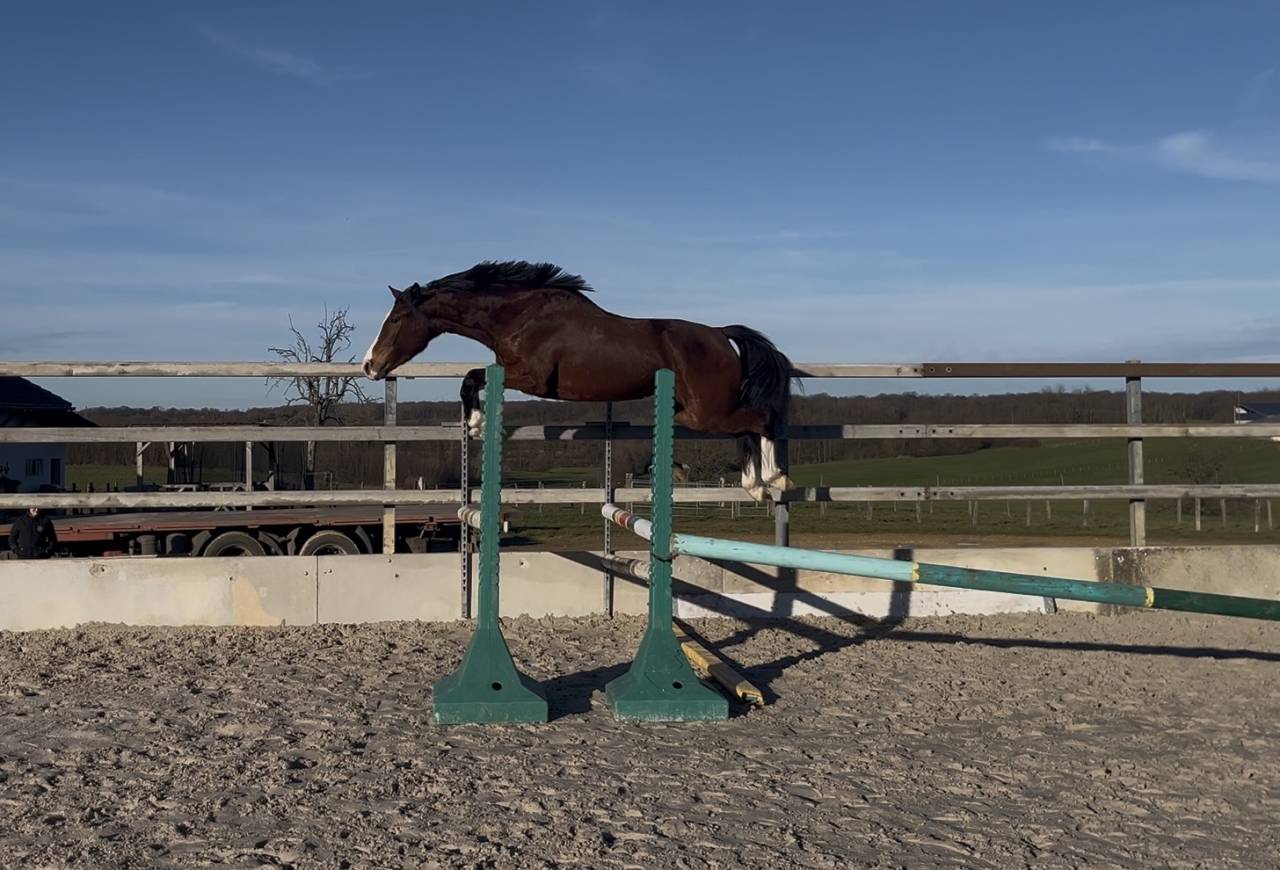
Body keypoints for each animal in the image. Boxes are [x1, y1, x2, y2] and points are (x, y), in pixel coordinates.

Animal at [362, 260, 793, 500]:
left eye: (396, 319)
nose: (369, 365)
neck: (517, 315)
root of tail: (721, 334)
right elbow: (473, 378)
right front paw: (474, 424)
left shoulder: (532, 379)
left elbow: (471, 378)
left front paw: (476, 424)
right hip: (694, 412)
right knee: (749, 426)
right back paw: (755, 485)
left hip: (706, 413)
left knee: (762, 419)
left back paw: (774, 478)